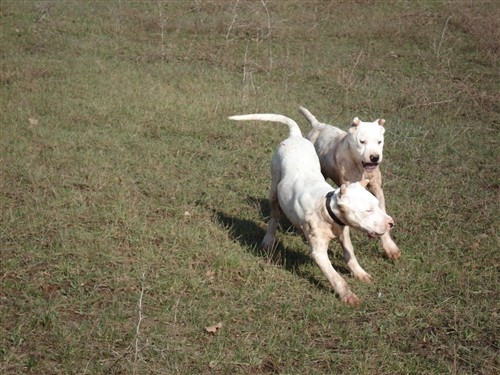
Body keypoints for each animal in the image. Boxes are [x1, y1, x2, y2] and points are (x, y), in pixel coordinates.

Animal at [298, 106, 400, 260]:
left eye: (379, 142)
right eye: (362, 141)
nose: (374, 157)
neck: (360, 166)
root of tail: (318, 125)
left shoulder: (376, 188)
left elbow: (381, 211)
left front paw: (390, 247)